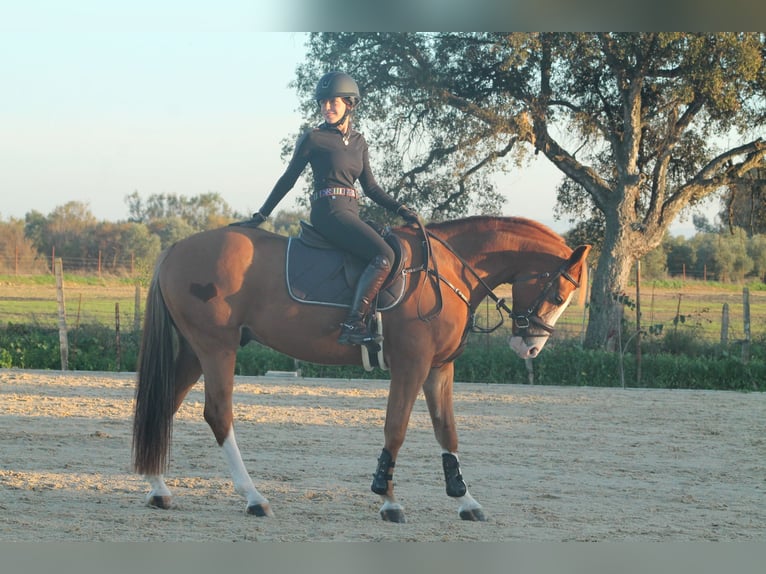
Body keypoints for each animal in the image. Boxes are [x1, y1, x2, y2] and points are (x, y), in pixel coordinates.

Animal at [132, 215, 592, 520]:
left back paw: (158, 489)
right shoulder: (411, 365)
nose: (530, 347)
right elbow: (396, 428)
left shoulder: (439, 369)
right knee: (218, 414)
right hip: (216, 348)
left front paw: (465, 499)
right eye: (560, 292)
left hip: (194, 351)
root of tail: (174, 250)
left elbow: (447, 431)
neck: (444, 272)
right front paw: (388, 499)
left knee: (165, 406)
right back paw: (253, 497)